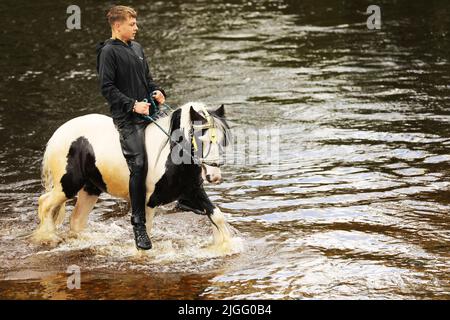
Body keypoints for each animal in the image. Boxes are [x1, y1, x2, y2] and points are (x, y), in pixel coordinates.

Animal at [32, 102, 232, 250]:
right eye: (200, 139)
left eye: (222, 140)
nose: (214, 176)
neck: (170, 156)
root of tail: (58, 134)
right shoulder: (148, 201)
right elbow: (146, 228)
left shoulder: (193, 191)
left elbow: (217, 216)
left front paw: (225, 247)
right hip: (67, 185)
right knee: (45, 203)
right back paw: (47, 238)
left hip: (90, 188)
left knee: (76, 220)